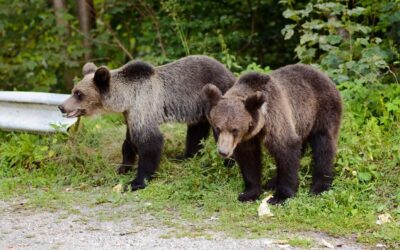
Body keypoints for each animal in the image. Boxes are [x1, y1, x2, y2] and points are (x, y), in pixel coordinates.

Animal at [58, 55, 236, 190]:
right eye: (73, 91)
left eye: (79, 93)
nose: (61, 106)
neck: (126, 97)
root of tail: (231, 74)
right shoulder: (130, 114)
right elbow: (129, 141)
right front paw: (123, 167)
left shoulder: (143, 105)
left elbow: (150, 142)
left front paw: (136, 182)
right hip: (198, 109)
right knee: (196, 131)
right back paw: (185, 156)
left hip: (217, 96)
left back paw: (228, 164)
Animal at [203, 64, 344, 205]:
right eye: (218, 128)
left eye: (234, 129)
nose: (223, 151)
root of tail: (323, 74)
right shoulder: (247, 138)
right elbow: (249, 159)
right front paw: (249, 193)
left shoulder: (275, 118)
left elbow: (286, 149)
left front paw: (280, 196)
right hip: (302, 121)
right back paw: (271, 182)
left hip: (322, 109)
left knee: (324, 145)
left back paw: (320, 187)